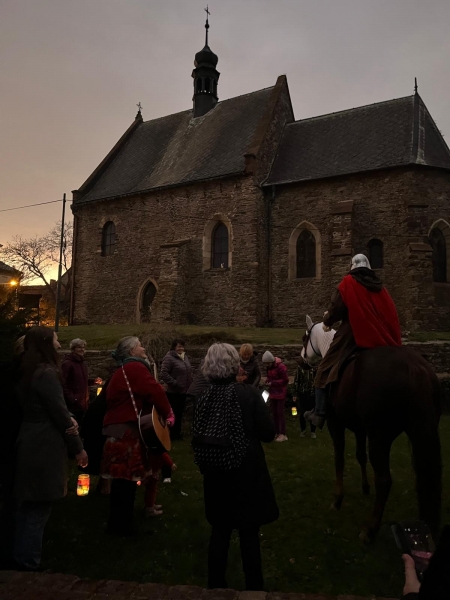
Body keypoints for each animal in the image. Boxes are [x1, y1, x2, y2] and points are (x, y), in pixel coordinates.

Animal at [301, 315, 442, 541]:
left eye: (304, 338)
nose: (301, 362)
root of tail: (415, 369)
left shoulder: (335, 423)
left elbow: (339, 458)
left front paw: (337, 499)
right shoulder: (360, 429)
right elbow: (360, 455)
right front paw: (365, 487)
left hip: (380, 437)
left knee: (384, 480)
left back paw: (370, 529)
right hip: (422, 432)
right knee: (425, 477)